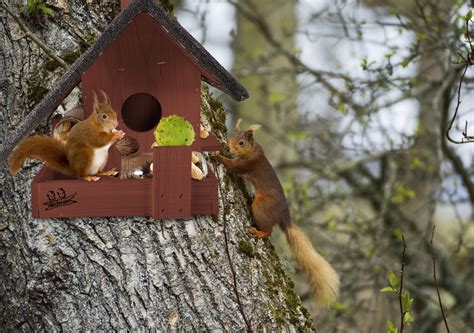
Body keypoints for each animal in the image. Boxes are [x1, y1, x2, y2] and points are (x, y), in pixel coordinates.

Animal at [215, 119, 340, 306]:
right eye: (230, 136)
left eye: (241, 142)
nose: (229, 147)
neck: (254, 149)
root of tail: (284, 216)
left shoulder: (249, 163)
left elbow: (233, 166)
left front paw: (217, 155)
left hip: (261, 206)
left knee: (269, 231)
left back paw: (258, 232)